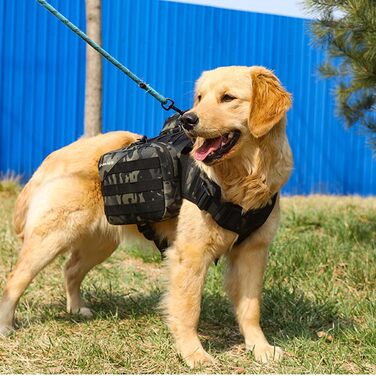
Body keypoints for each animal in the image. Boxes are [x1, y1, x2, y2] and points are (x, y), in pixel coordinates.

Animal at [0, 65, 294, 368]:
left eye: (228, 98)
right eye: (200, 97)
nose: (188, 119)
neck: (242, 180)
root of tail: (54, 157)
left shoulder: (253, 251)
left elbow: (250, 308)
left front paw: (260, 347)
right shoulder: (190, 254)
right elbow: (189, 309)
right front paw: (193, 353)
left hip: (100, 243)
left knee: (70, 269)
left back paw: (77, 308)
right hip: (52, 239)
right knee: (15, 278)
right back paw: (6, 325)